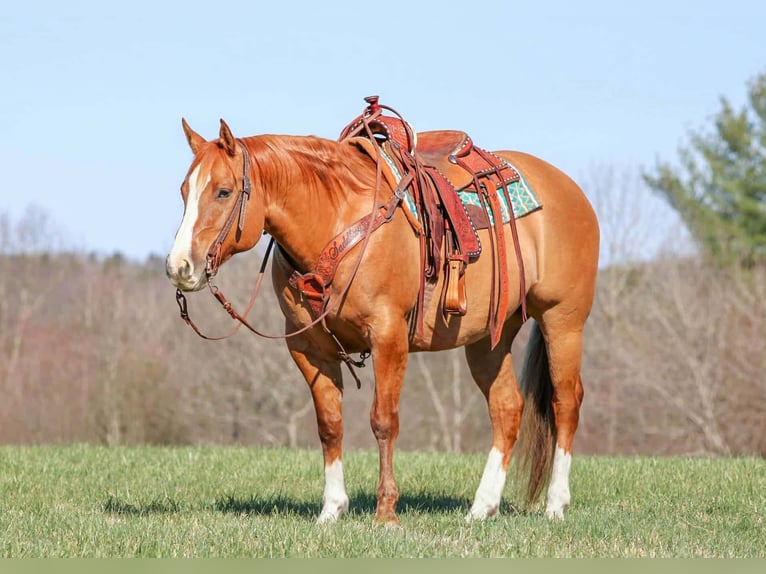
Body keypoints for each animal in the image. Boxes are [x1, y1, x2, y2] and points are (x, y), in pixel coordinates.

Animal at [165, 102, 599, 526]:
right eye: (185, 190)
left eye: (223, 192)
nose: (179, 266)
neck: (337, 221)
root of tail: (570, 189)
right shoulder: (309, 348)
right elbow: (330, 425)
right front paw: (331, 509)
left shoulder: (388, 337)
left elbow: (383, 421)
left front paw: (386, 512)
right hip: (488, 339)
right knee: (507, 408)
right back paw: (482, 508)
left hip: (563, 323)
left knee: (565, 402)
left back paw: (555, 505)